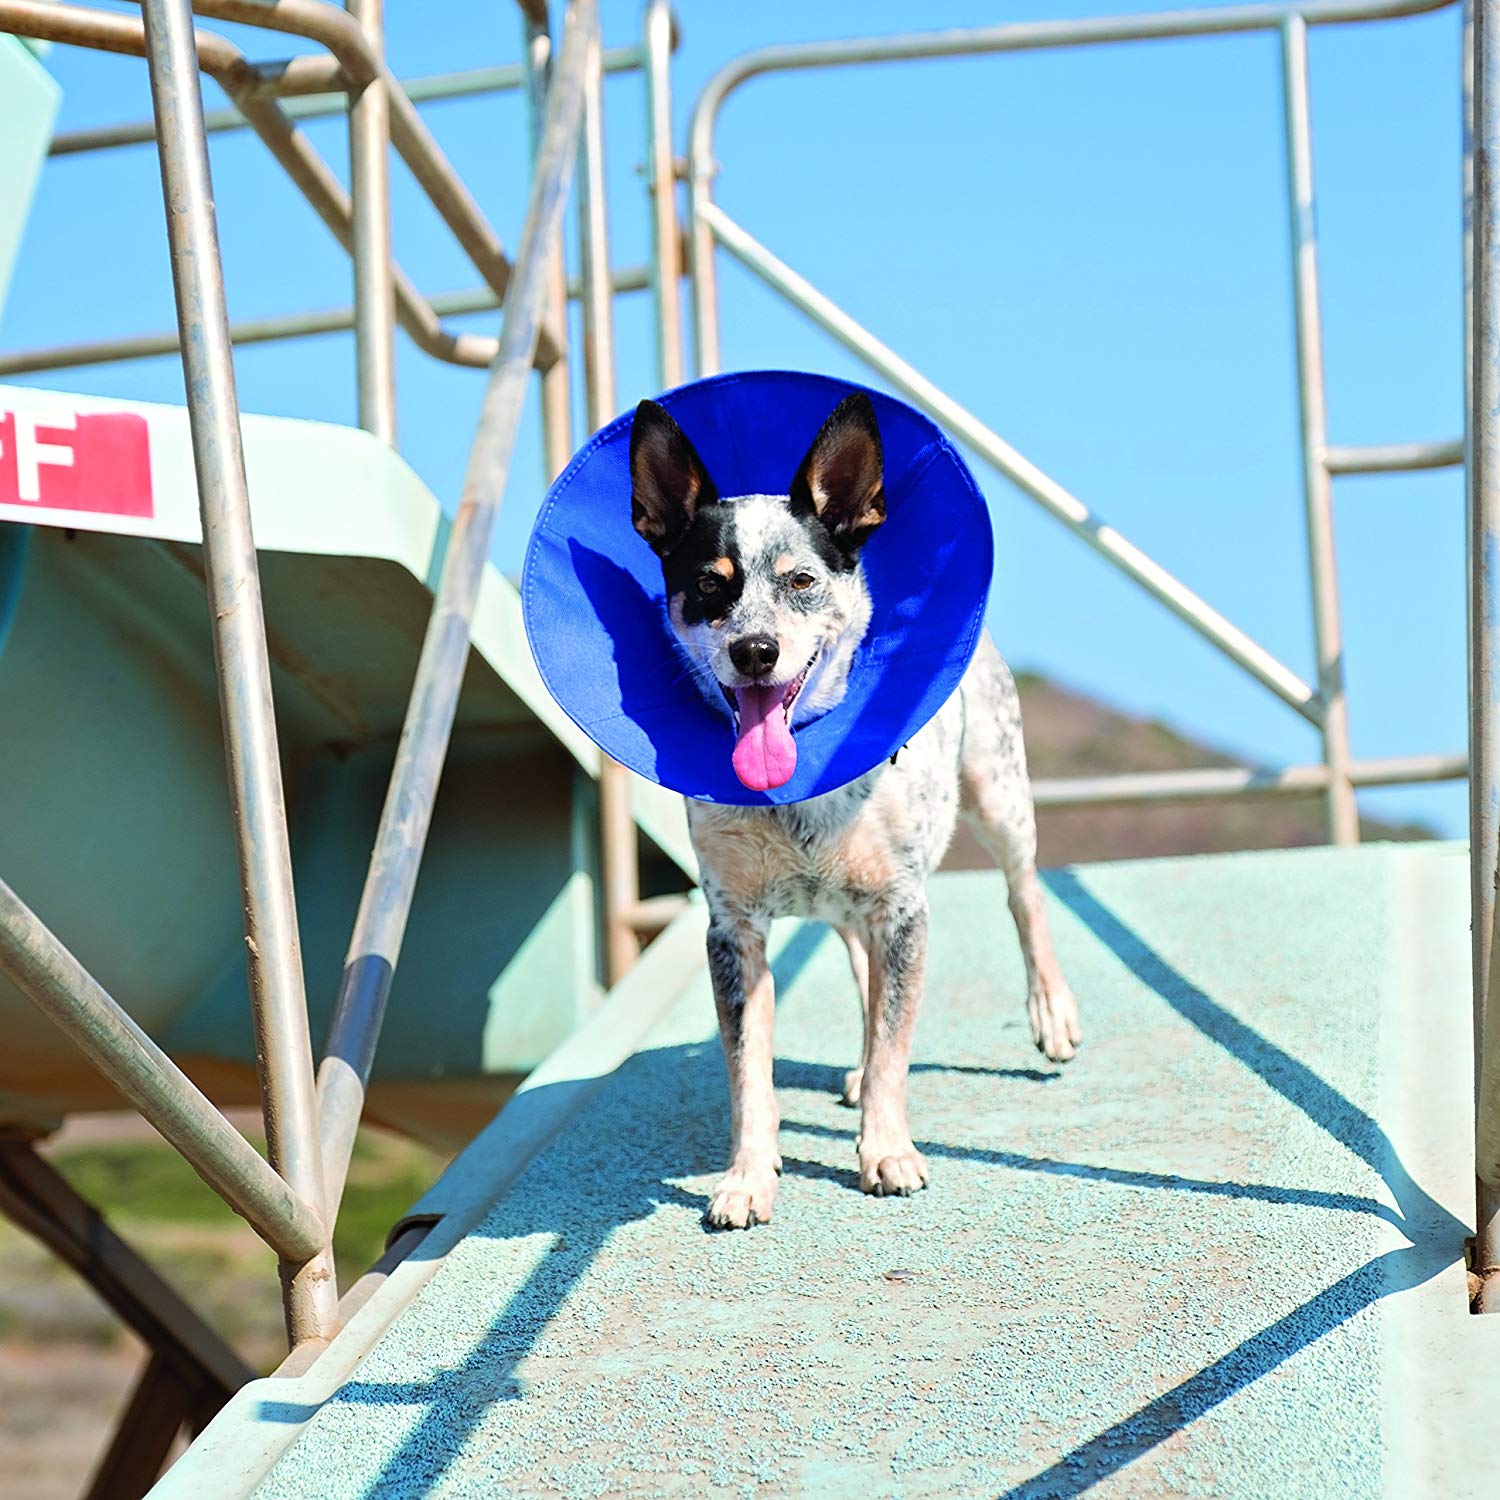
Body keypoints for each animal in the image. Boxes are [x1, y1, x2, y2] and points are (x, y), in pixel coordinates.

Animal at [630, 390, 1080, 1230]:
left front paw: (888, 1152)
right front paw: (747, 1178)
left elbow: (897, 1047)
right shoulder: (732, 929)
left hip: (998, 790)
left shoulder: (903, 910)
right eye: (709, 584)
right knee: (863, 975)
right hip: (847, 907)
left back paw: (1051, 1015)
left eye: (802, 580)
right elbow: (749, 1069)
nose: (755, 651)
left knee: (1024, 893)